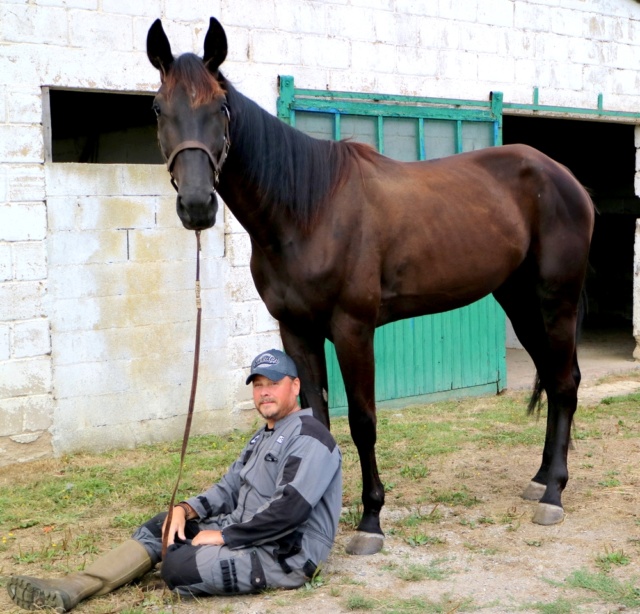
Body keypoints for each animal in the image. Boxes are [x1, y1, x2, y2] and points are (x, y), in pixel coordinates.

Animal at [146, 18, 596, 560]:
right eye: (158, 107)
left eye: (220, 107)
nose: (196, 206)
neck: (308, 210)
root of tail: (565, 178)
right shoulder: (296, 329)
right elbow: (317, 416)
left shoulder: (353, 329)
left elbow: (363, 422)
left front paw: (371, 520)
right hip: (520, 301)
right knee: (553, 377)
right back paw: (541, 479)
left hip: (556, 299)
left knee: (566, 383)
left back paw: (553, 495)